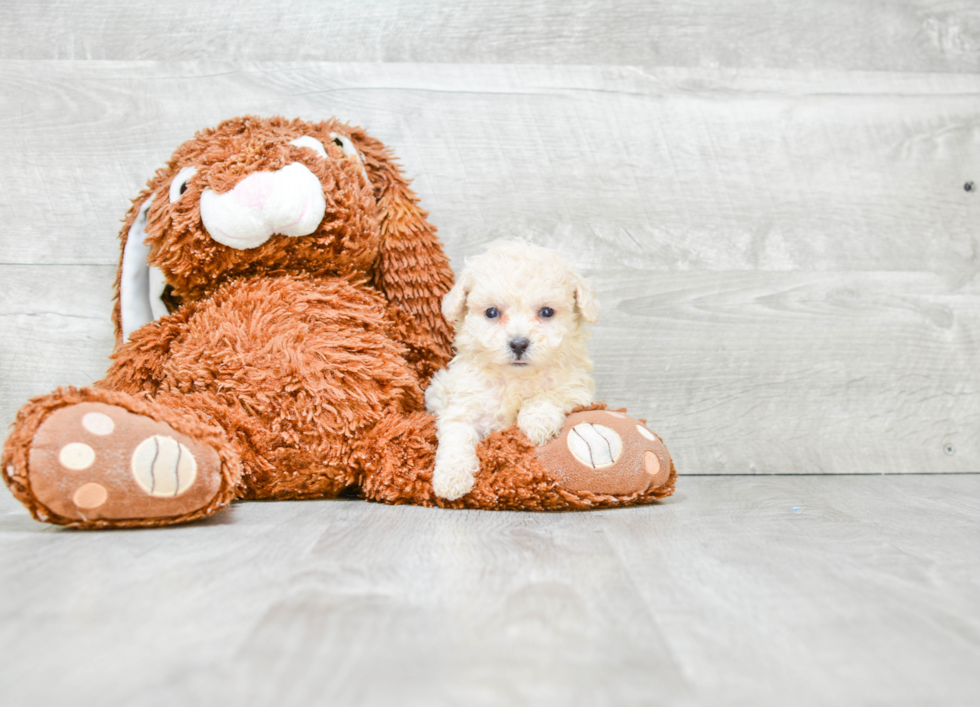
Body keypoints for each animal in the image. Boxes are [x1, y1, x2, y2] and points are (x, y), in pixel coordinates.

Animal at [426, 241, 600, 500]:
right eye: (491, 312)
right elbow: (457, 438)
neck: (515, 377)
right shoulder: (463, 406)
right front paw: (451, 478)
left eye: (546, 312)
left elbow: (548, 394)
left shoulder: (576, 389)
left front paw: (537, 421)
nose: (518, 344)